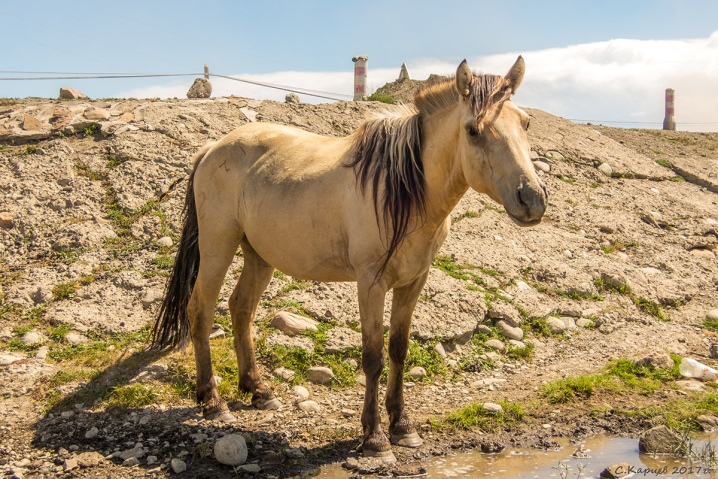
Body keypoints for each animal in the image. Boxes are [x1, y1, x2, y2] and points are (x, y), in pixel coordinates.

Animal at [152, 57, 544, 464]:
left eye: (525, 122)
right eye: (473, 130)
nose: (532, 199)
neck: (404, 192)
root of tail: (213, 147)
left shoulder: (413, 282)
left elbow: (398, 349)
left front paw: (403, 426)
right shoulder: (371, 283)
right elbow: (372, 356)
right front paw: (374, 437)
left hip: (258, 255)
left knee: (241, 309)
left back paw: (258, 390)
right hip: (218, 246)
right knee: (200, 310)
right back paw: (212, 401)